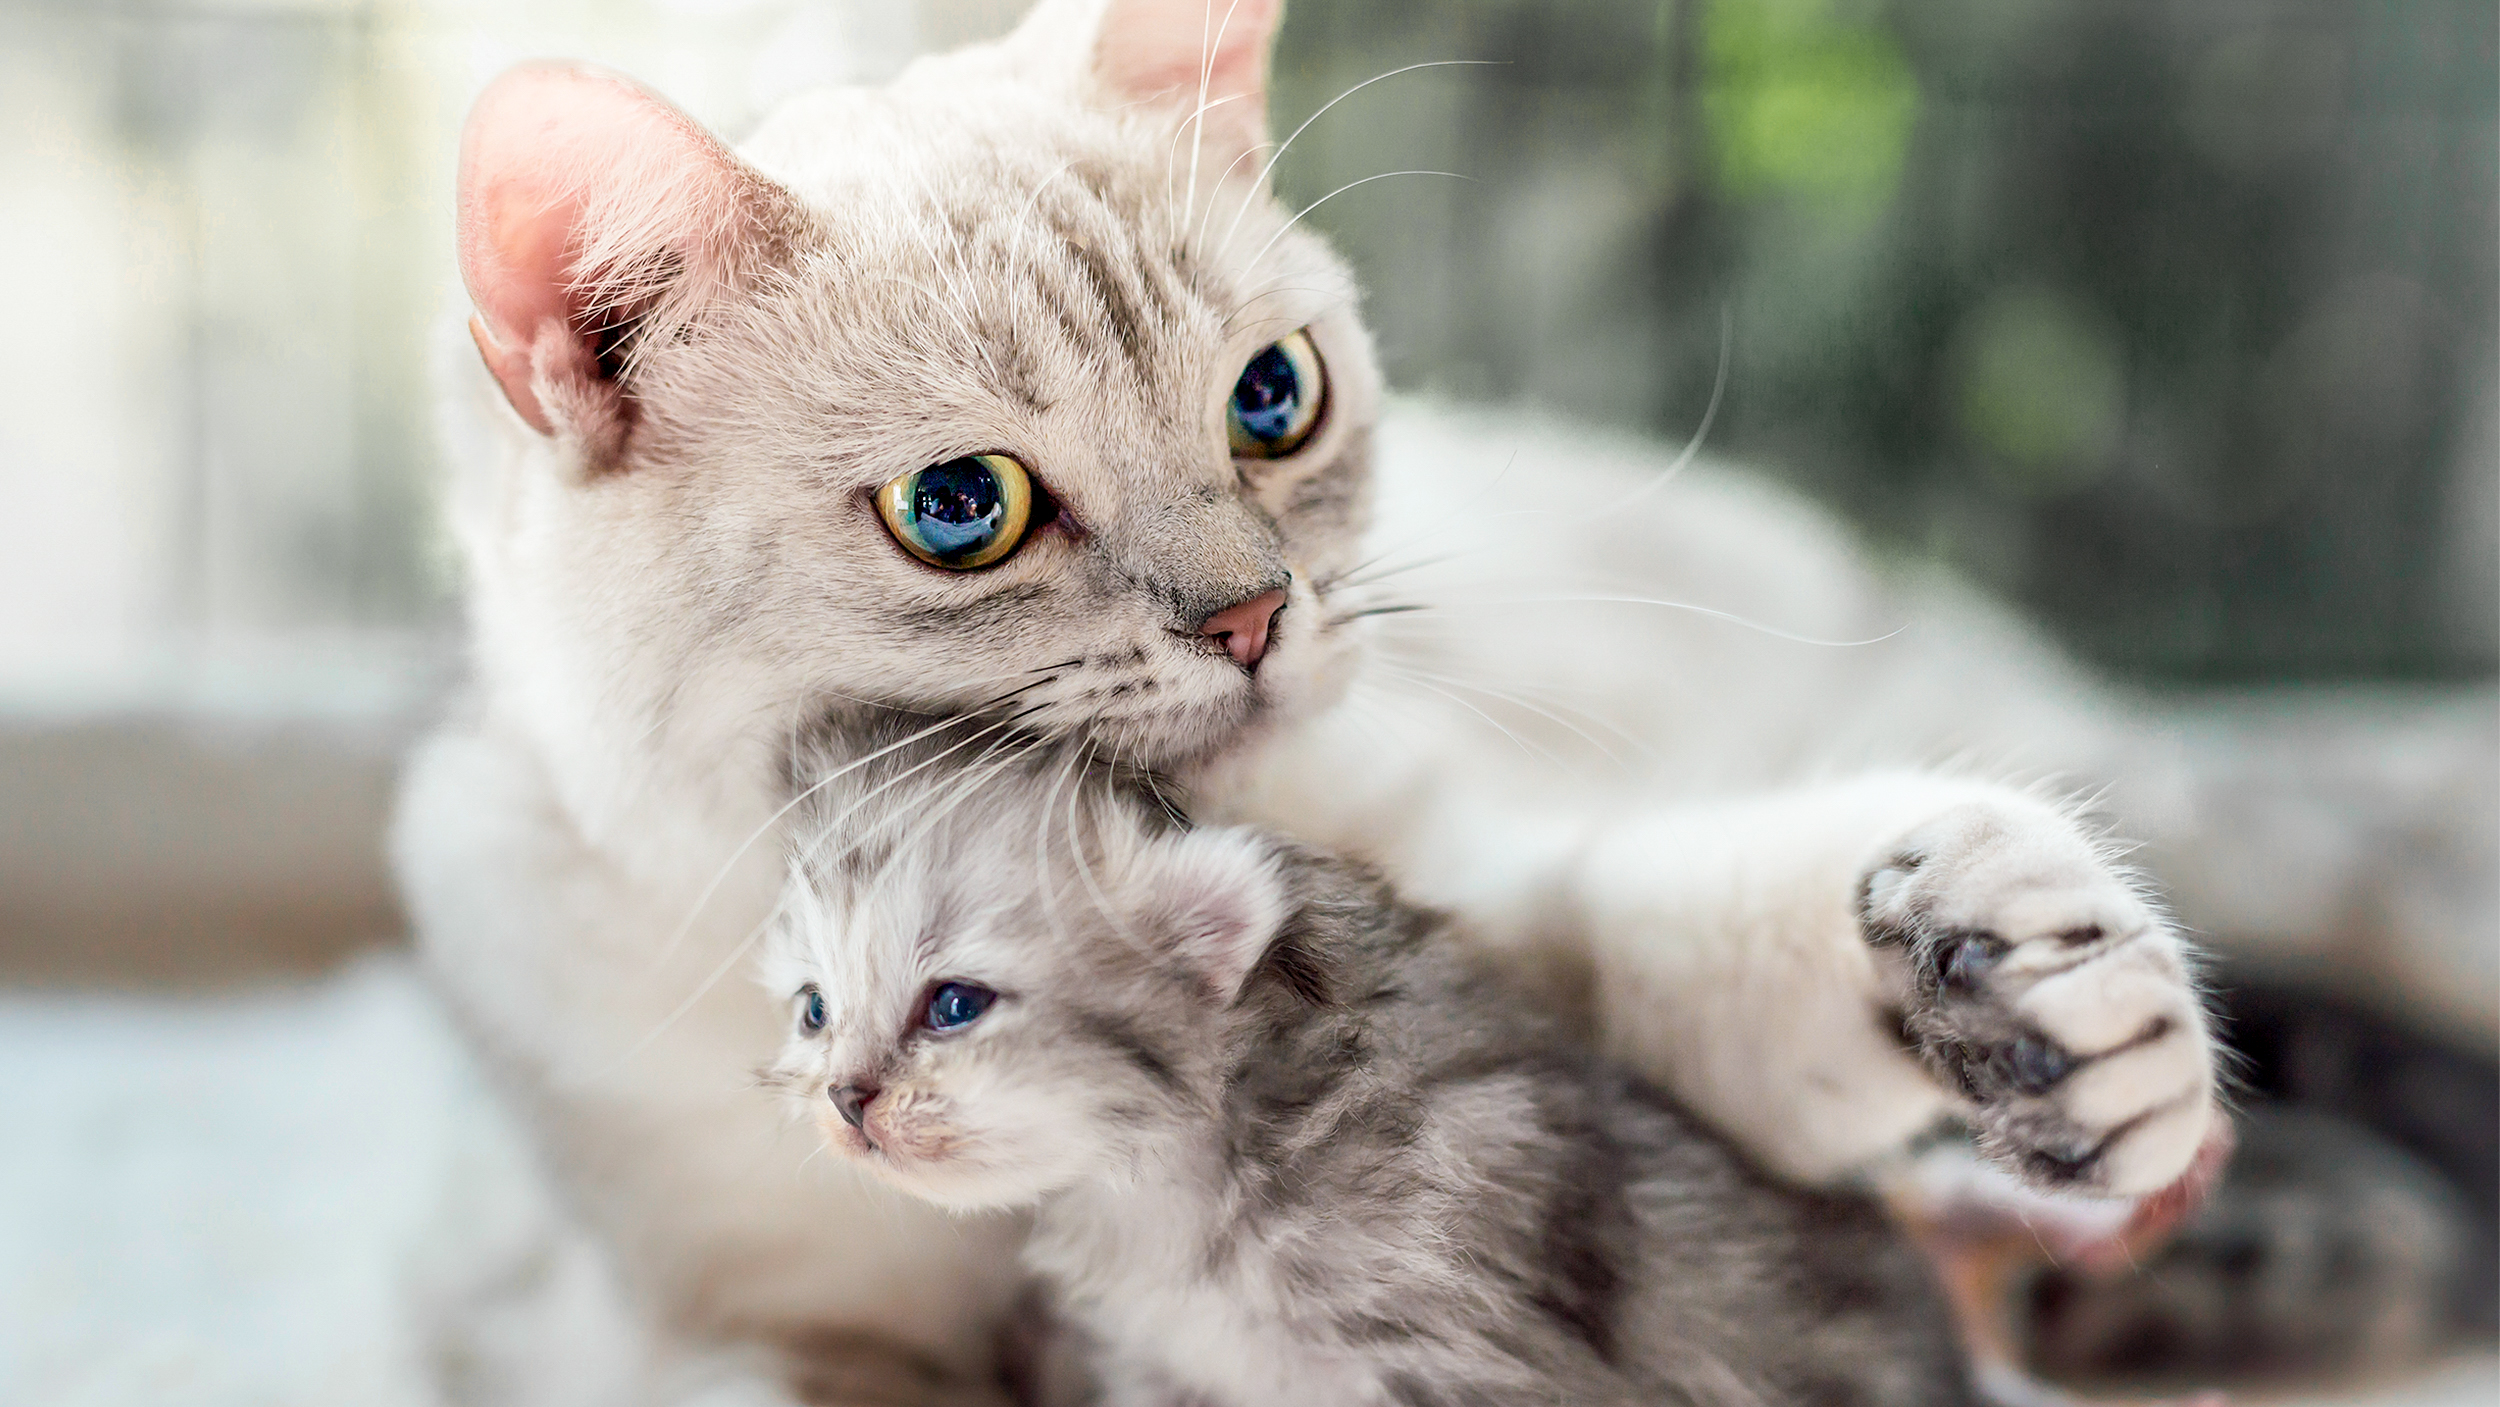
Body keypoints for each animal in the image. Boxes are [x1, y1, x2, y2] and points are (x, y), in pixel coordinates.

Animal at [755, 739, 1970, 1407]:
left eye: (955, 1004)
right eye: (815, 1011)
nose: (847, 1099)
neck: (1191, 1193)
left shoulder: (1465, 1357)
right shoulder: (1167, 1370)